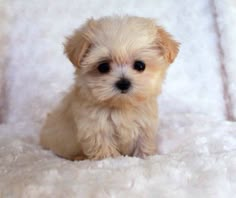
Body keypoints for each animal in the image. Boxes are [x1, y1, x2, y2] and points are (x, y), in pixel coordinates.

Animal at [39, 15, 178, 161]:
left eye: (140, 65)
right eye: (103, 67)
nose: (123, 83)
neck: (121, 107)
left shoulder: (144, 126)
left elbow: (143, 145)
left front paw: (145, 157)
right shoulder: (96, 129)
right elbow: (107, 152)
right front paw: (112, 161)